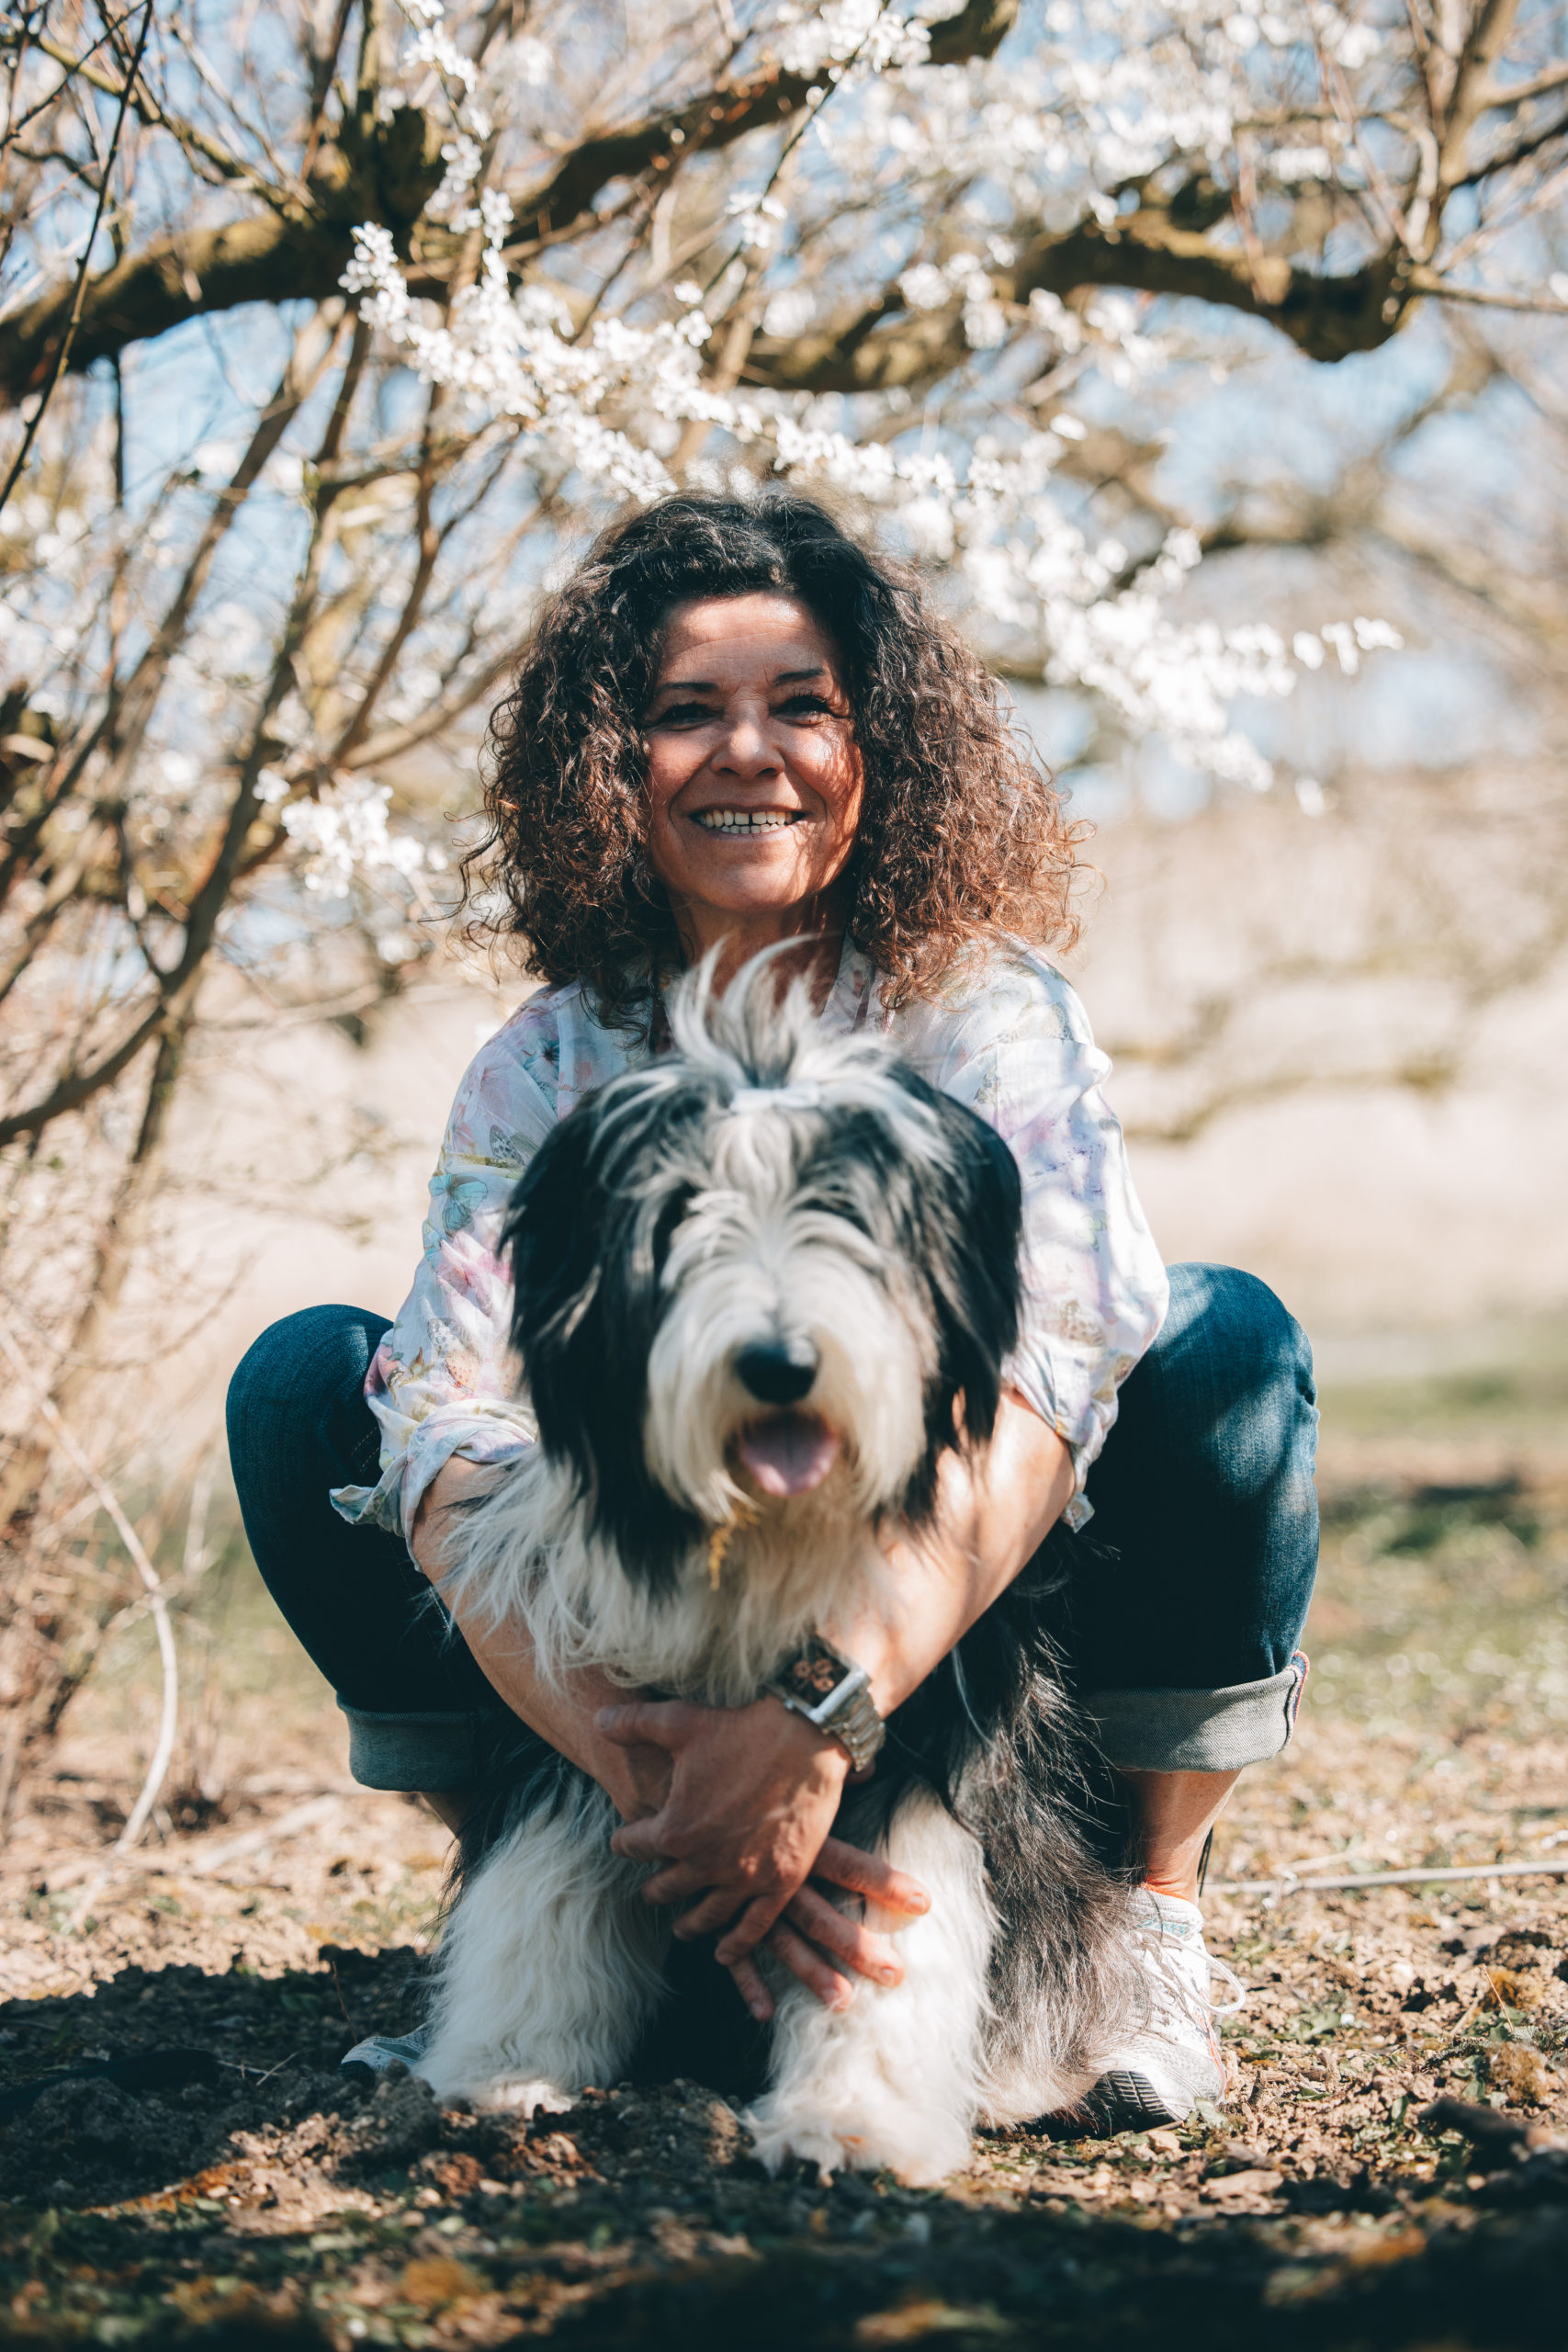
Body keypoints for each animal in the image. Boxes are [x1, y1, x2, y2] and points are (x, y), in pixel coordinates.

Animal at [423, 959, 1142, 2182]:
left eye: (846, 1209)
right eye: (680, 1211)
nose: (778, 1362)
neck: (767, 1527)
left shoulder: (916, 1732)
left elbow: (885, 1931)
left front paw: (851, 2117)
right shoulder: (591, 1697)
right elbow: (545, 1873)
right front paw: (510, 2061)